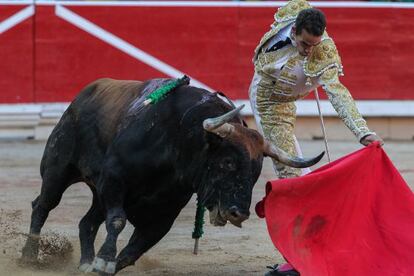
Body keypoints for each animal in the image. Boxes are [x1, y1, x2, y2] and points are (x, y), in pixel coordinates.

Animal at [21, 77, 324, 274]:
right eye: (226, 163)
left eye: (256, 172)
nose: (239, 213)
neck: (176, 143)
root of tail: (82, 96)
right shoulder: (114, 181)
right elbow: (117, 221)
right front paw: (104, 259)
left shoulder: (164, 214)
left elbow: (132, 252)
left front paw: (102, 264)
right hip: (58, 170)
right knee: (42, 205)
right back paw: (29, 256)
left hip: (98, 195)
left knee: (87, 222)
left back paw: (84, 261)